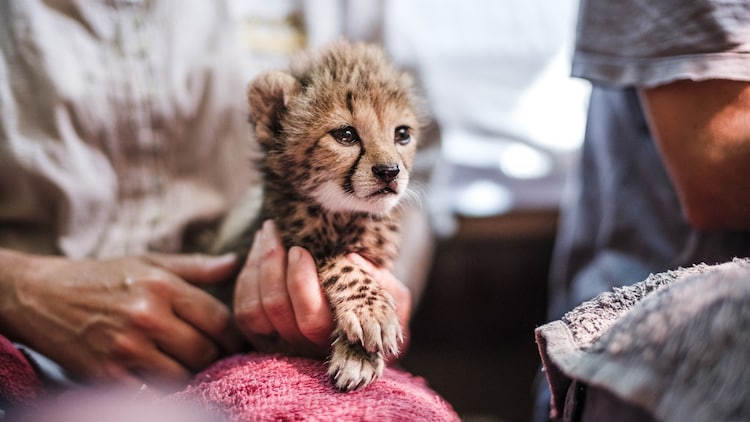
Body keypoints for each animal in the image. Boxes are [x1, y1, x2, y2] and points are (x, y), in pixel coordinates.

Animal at [216, 40, 423, 391]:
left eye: (402, 134)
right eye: (346, 135)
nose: (389, 171)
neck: (343, 214)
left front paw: (358, 354)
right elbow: (340, 262)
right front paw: (372, 314)